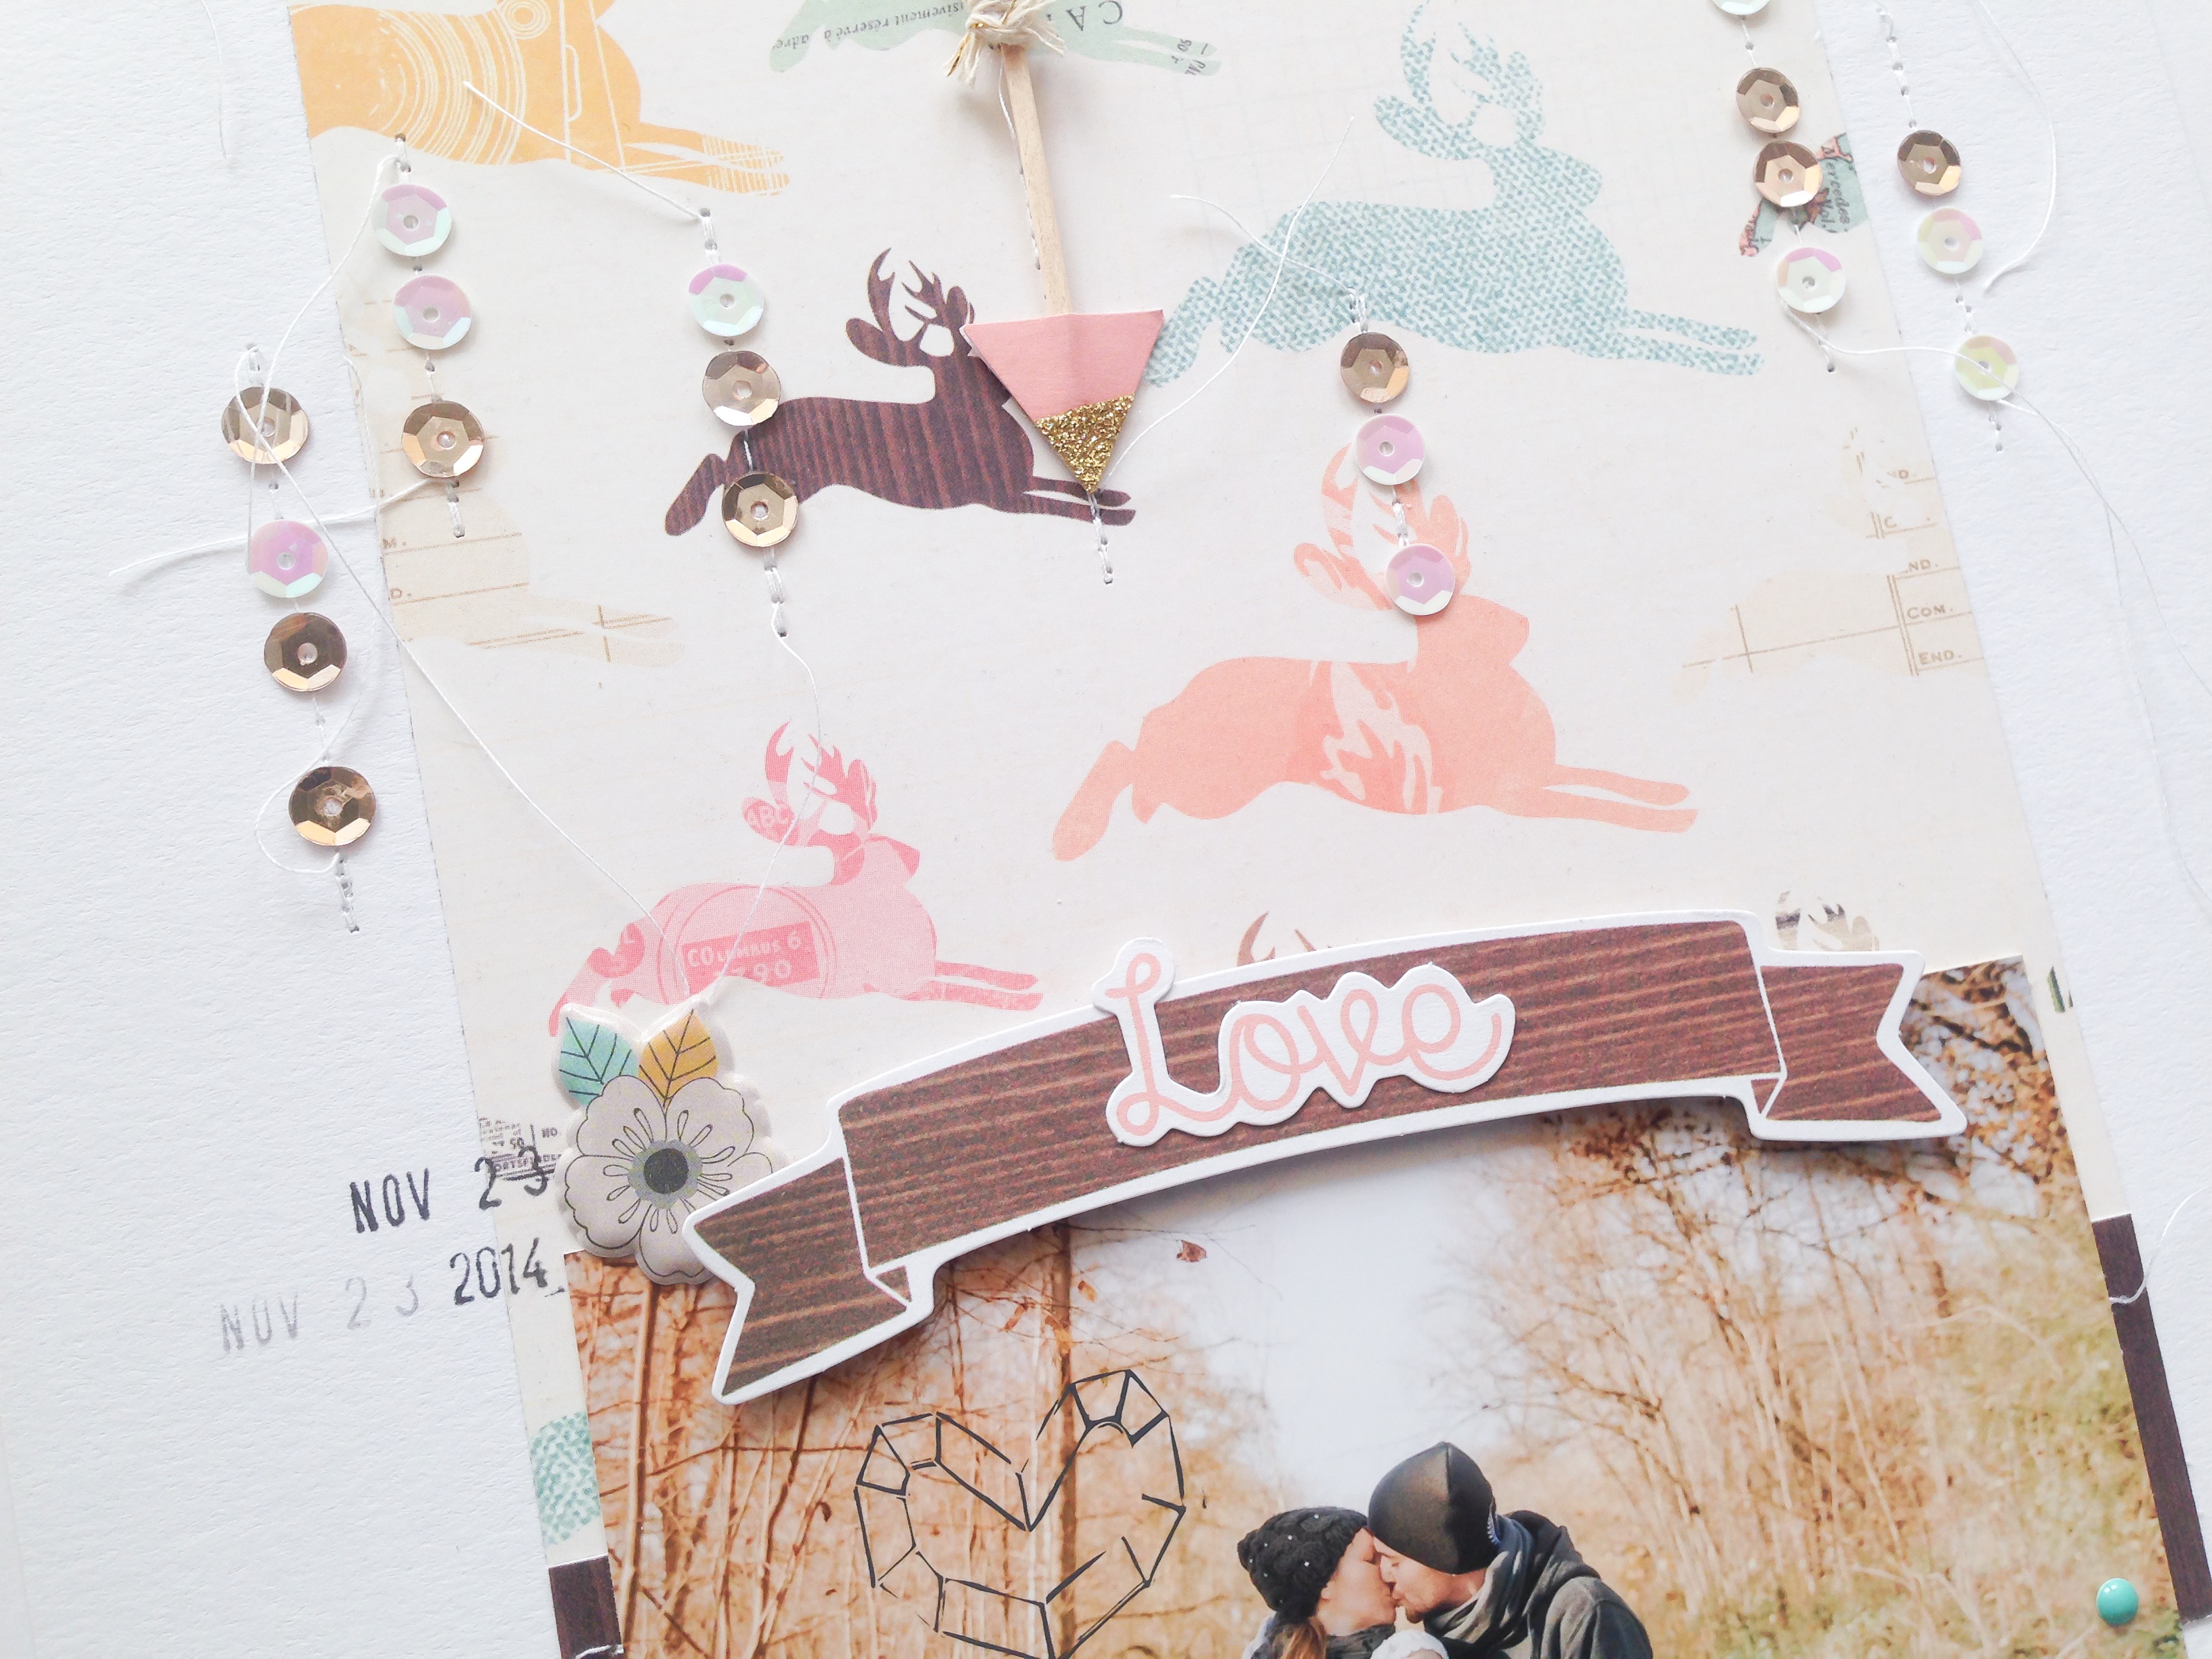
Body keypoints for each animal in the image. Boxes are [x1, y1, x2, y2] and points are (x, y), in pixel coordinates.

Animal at [551, 727, 1042, 1030]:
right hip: (663, 981)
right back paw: (560, 1019)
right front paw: (1028, 1002)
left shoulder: (928, 966)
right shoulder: (904, 987)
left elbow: (972, 970)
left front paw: (1023, 981)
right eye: (869, 849)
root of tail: (654, 916)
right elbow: (963, 990)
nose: (915, 855)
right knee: (601, 960)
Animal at [666, 254, 1136, 536]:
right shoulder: (998, 496)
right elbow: (1066, 508)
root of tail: (745, 434)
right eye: (970, 373)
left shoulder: (1023, 479)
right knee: (718, 467)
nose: (1009, 389)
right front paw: (1120, 513)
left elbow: (1070, 489)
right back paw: (677, 521)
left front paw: (1115, 497)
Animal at [1052, 449, 1695, 861]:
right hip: (1212, 789)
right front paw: (1677, 819)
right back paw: (1073, 838)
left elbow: (1605, 780)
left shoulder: (1546, 773)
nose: (1523, 625)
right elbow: (1596, 809)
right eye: (1459, 612)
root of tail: (1175, 704)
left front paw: (1674, 795)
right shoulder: (1513, 797)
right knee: (1126, 757)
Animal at [1146, 7, 1760, 385]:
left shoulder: (1614, 317)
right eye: (1523, 169)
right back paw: (1163, 365)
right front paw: (1739, 355)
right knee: (1217, 302)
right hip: (1291, 323)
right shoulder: (1589, 335)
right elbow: (1663, 343)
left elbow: (1676, 325)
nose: (1592, 179)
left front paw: (1745, 340)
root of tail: (1272, 236)